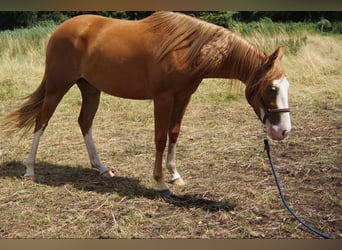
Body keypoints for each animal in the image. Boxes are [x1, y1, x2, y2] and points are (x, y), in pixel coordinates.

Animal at [2, 11, 292, 194]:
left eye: (287, 86)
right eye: (271, 87)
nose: (283, 131)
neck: (187, 50)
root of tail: (59, 32)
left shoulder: (183, 98)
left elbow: (174, 134)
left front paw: (175, 176)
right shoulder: (163, 99)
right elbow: (160, 138)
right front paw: (160, 182)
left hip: (91, 90)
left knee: (85, 122)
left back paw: (101, 168)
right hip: (57, 86)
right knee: (42, 121)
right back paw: (29, 170)